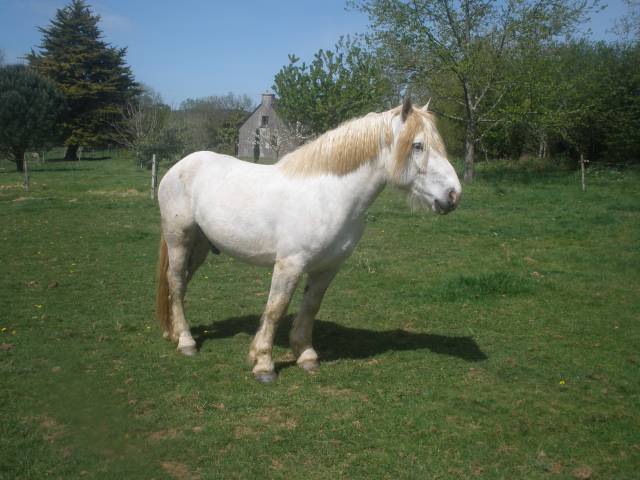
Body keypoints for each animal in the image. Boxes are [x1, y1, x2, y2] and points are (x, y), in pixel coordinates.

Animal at [155, 98, 461, 383]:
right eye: (418, 145)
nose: (453, 195)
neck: (330, 195)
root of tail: (179, 166)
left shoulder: (328, 267)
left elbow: (311, 307)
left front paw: (306, 356)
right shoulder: (289, 265)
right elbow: (276, 309)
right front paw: (263, 364)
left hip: (200, 246)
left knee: (181, 284)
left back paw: (174, 332)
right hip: (180, 238)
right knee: (177, 282)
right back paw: (186, 342)